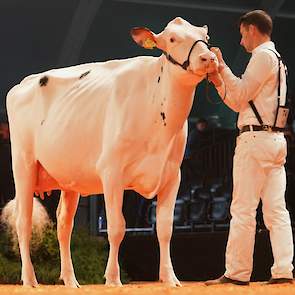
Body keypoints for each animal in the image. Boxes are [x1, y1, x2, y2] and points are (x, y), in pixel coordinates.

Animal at [4, 16, 217, 290]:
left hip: (69, 179)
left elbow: (165, 228)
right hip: (24, 165)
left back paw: (70, 280)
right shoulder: (112, 172)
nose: (208, 58)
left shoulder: (172, 175)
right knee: (24, 222)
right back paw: (30, 280)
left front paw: (170, 278)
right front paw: (113, 278)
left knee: (64, 225)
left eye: (205, 37)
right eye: (172, 39)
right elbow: (117, 227)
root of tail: (24, 83)